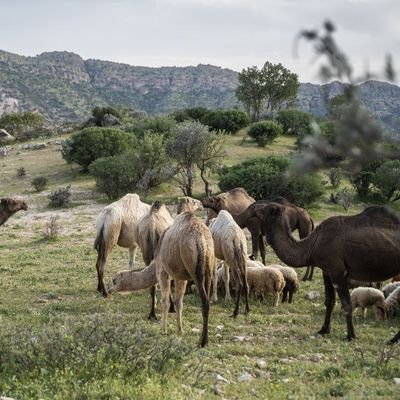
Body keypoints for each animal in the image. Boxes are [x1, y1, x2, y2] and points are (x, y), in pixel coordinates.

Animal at [252, 202, 400, 342]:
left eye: (266, 209)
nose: (255, 209)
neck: (313, 244)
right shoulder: (327, 272)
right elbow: (329, 302)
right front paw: (324, 330)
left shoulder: (337, 272)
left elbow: (347, 305)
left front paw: (350, 336)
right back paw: (392, 340)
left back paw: (392, 340)